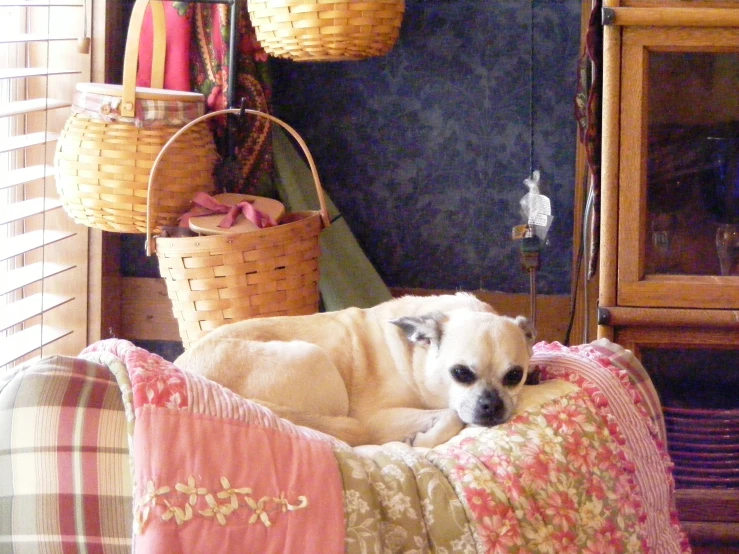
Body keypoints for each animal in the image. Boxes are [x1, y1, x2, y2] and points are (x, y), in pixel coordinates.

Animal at [176, 292, 536, 446]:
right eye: (461, 374)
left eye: (514, 376)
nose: (491, 406)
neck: (415, 356)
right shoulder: (376, 419)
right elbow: (451, 415)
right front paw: (422, 440)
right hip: (313, 357)